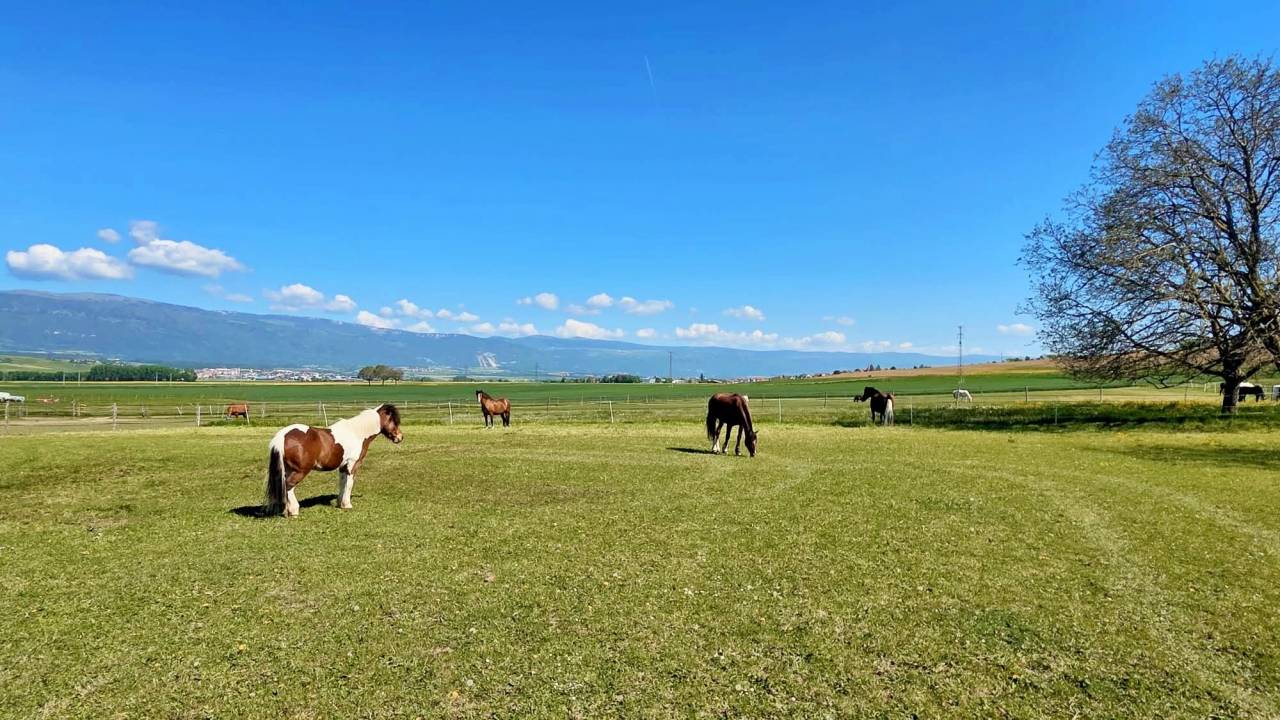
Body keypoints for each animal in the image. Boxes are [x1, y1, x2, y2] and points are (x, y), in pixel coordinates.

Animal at [265, 404, 402, 517]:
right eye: (394, 421)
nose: (400, 437)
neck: (357, 433)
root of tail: (282, 436)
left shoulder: (343, 467)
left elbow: (342, 483)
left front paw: (340, 503)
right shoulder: (353, 465)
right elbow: (349, 484)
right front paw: (347, 505)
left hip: (287, 469)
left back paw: (286, 510)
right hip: (300, 471)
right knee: (289, 485)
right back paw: (293, 511)